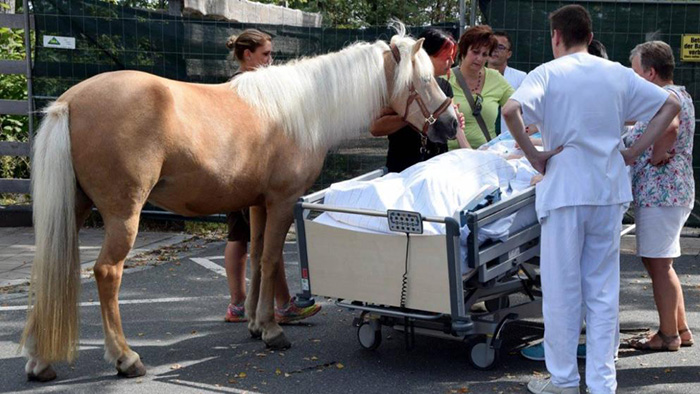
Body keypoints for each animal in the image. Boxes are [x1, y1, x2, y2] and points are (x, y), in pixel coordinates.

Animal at [19, 25, 460, 382]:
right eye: (425, 79)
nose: (451, 123)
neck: (302, 109)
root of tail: (70, 101)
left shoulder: (258, 205)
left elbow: (258, 258)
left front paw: (254, 323)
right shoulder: (282, 202)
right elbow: (270, 258)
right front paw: (272, 330)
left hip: (74, 210)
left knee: (51, 266)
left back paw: (40, 362)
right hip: (123, 215)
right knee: (107, 273)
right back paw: (126, 358)